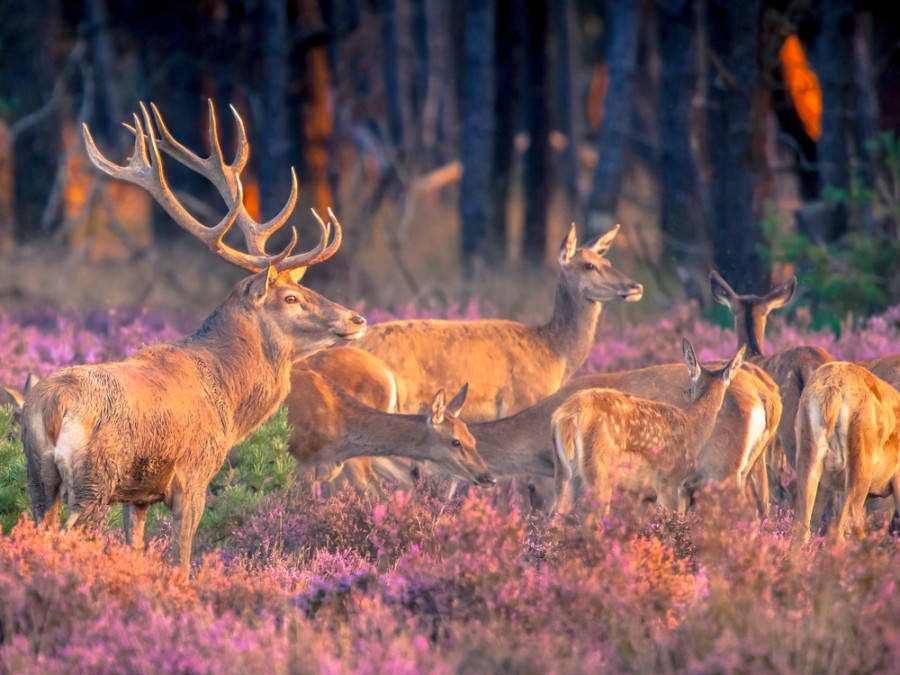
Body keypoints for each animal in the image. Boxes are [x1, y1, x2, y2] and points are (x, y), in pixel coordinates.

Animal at [22, 103, 366, 572]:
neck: (230, 396)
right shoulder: (194, 473)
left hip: (37, 476)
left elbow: (135, 546)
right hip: (94, 478)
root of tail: (52, 406)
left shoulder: (138, 494)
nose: (356, 318)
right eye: (292, 297)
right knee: (69, 536)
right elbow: (181, 558)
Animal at [548, 340, 744, 516]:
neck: (693, 427)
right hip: (599, 469)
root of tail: (569, 416)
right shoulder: (669, 481)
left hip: (563, 471)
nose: (687, 392)